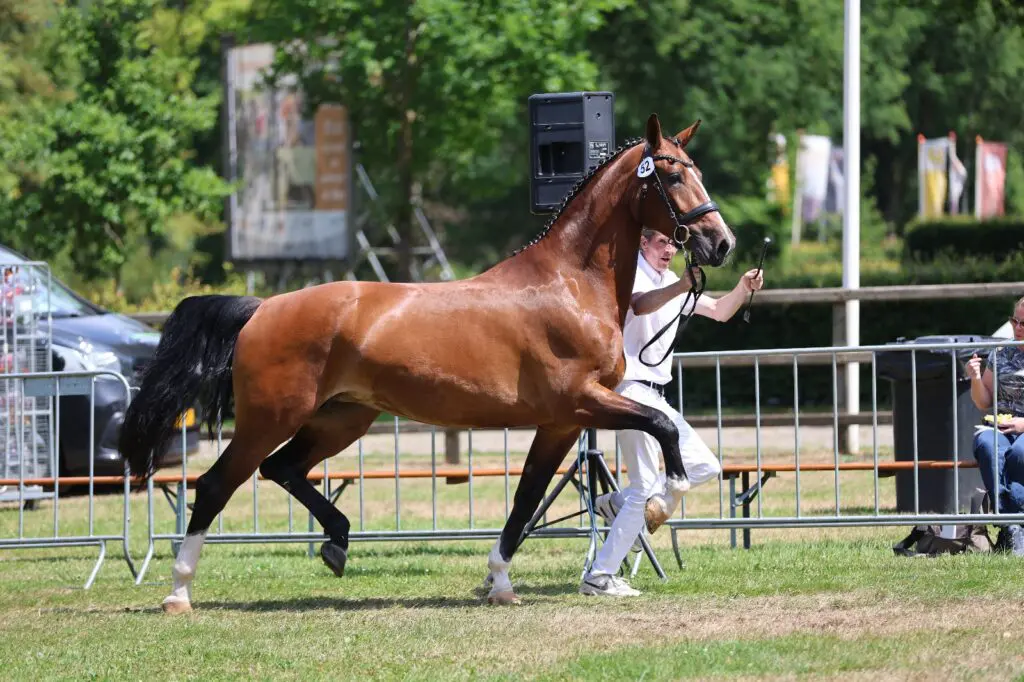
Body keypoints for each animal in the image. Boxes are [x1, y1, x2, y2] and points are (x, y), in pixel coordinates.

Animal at [119, 113, 736, 613]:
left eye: (698, 170)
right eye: (672, 176)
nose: (721, 243)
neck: (570, 284)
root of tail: (263, 307)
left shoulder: (561, 423)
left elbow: (526, 499)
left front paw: (501, 583)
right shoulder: (582, 402)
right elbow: (660, 430)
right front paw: (658, 502)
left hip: (342, 418)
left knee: (282, 469)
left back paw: (337, 543)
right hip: (269, 419)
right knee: (215, 485)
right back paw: (179, 592)